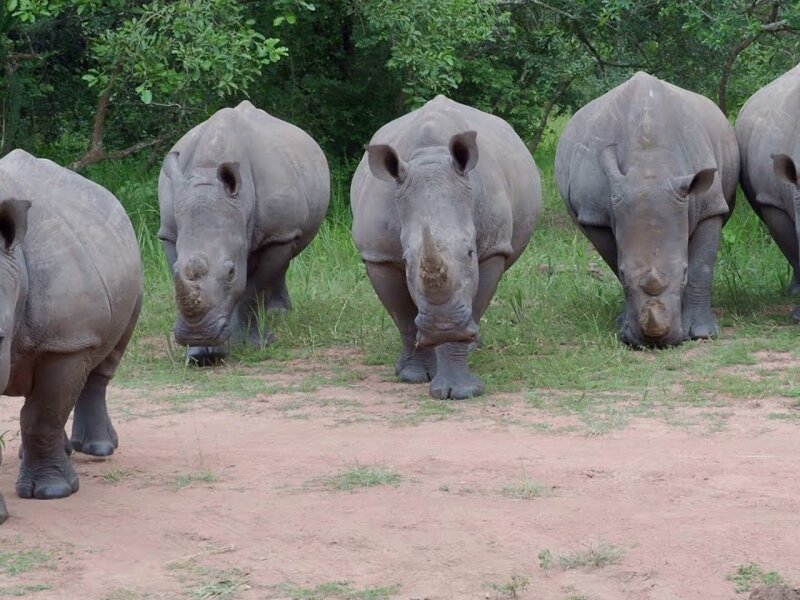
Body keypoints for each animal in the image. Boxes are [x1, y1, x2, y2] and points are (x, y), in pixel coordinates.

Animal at [0, 149, 142, 522]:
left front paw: (53, 492)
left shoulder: (68, 340)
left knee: (105, 355)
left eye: (0, 336)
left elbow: (44, 413)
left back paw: (97, 449)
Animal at [158, 101, 330, 363]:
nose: (197, 334)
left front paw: (252, 344)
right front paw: (201, 354)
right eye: (177, 268)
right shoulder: (169, 232)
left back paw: (278, 314)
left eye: (230, 273)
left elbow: (253, 289)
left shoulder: (278, 232)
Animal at [351, 95, 541, 399]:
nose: (442, 326)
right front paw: (414, 375)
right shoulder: (379, 255)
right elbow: (403, 317)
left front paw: (460, 391)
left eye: (470, 252)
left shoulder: (493, 248)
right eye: (406, 260)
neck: (429, 157)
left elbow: (474, 301)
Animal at [555, 72, 739, 346]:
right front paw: (624, 325)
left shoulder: (711, 205)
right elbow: (613, 259)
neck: (650, 165)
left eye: (683, 273)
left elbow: (702, 266)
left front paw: (702, 333)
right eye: (623, 274)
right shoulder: (594, 215)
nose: (655, 341)